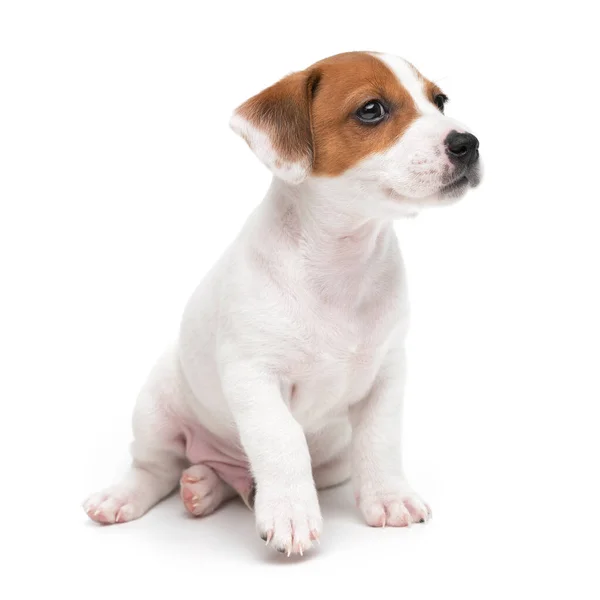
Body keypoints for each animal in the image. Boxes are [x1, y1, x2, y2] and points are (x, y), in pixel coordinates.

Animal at [82, 51, 480, 556]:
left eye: (440, 101)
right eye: (372, 109)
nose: (468, 143)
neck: (341, 264)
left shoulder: (387, 374)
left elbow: (380, 439)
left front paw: (388, 497)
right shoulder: (254, 375)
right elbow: (281, 439)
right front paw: (291, 514)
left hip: (329, 463)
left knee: (230, 479)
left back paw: (204, 487)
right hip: (155, 410)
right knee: (155, 468)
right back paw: (126, 496)